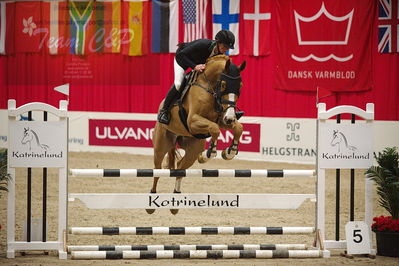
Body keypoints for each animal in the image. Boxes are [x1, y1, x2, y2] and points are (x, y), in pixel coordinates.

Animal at [148, 55, 245, 215]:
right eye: (223, 85)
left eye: (240, 86)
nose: (231, 117)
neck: (210, 88)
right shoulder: (193, 121)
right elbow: (215, 129)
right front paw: (210, 152)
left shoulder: (222, 119)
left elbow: (238, 128)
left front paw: (229, 152)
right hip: (161, 145)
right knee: (157, 170)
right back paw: (150, 203)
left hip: (192, 148)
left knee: (180, 168)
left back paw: (175, 203)